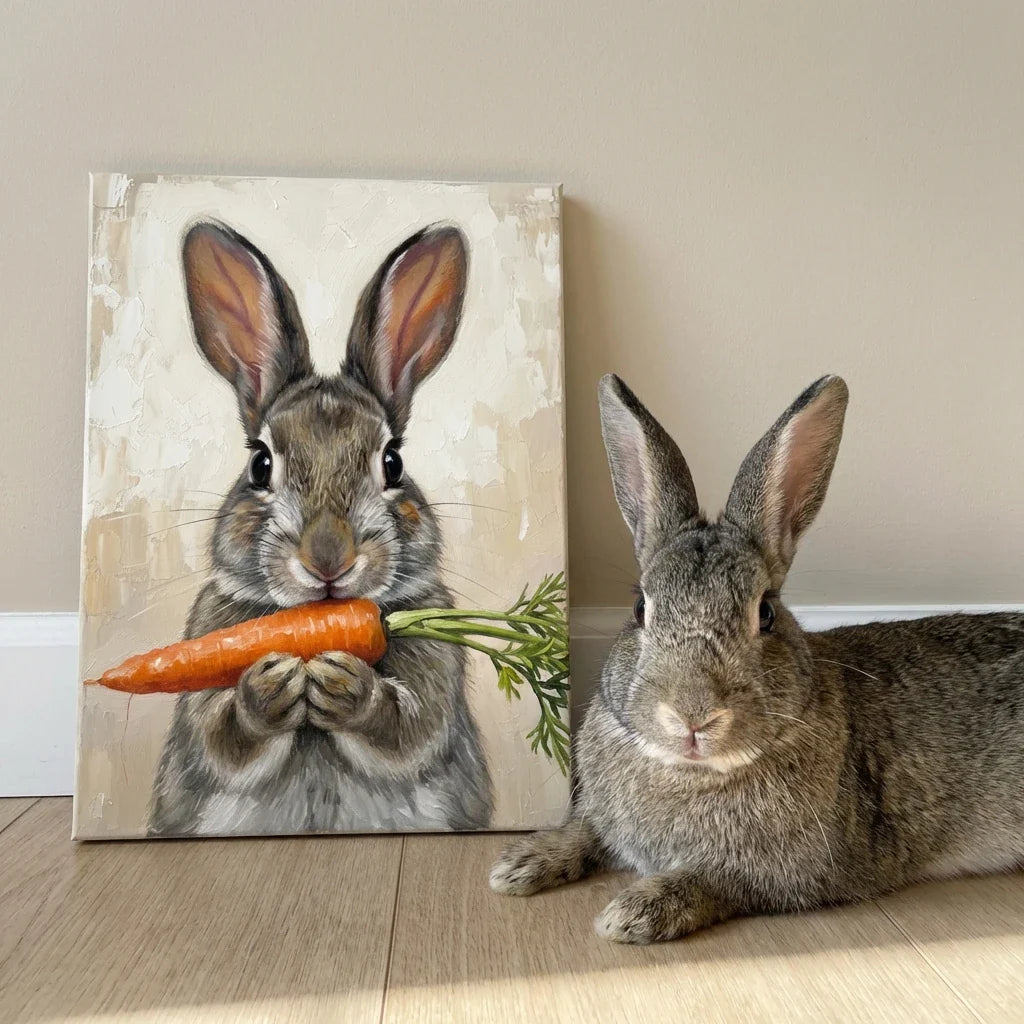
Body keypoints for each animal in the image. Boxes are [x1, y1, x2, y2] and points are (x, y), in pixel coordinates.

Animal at [149, 220, 493, 837]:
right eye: (260, 463)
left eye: (392, 463)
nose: (328, 557)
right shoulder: (204, 661)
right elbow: (219, 733)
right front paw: (269, 689)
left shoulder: (438, 667)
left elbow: (411, 728)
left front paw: (343, 686)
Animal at [491, 373, 1024, 943]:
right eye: (639, 608)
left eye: (765, 612)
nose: (693, 716)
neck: (692, 771)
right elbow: (587, 830)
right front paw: (520, 863)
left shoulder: (797, 871)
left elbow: (716, 880)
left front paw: (634, 912)